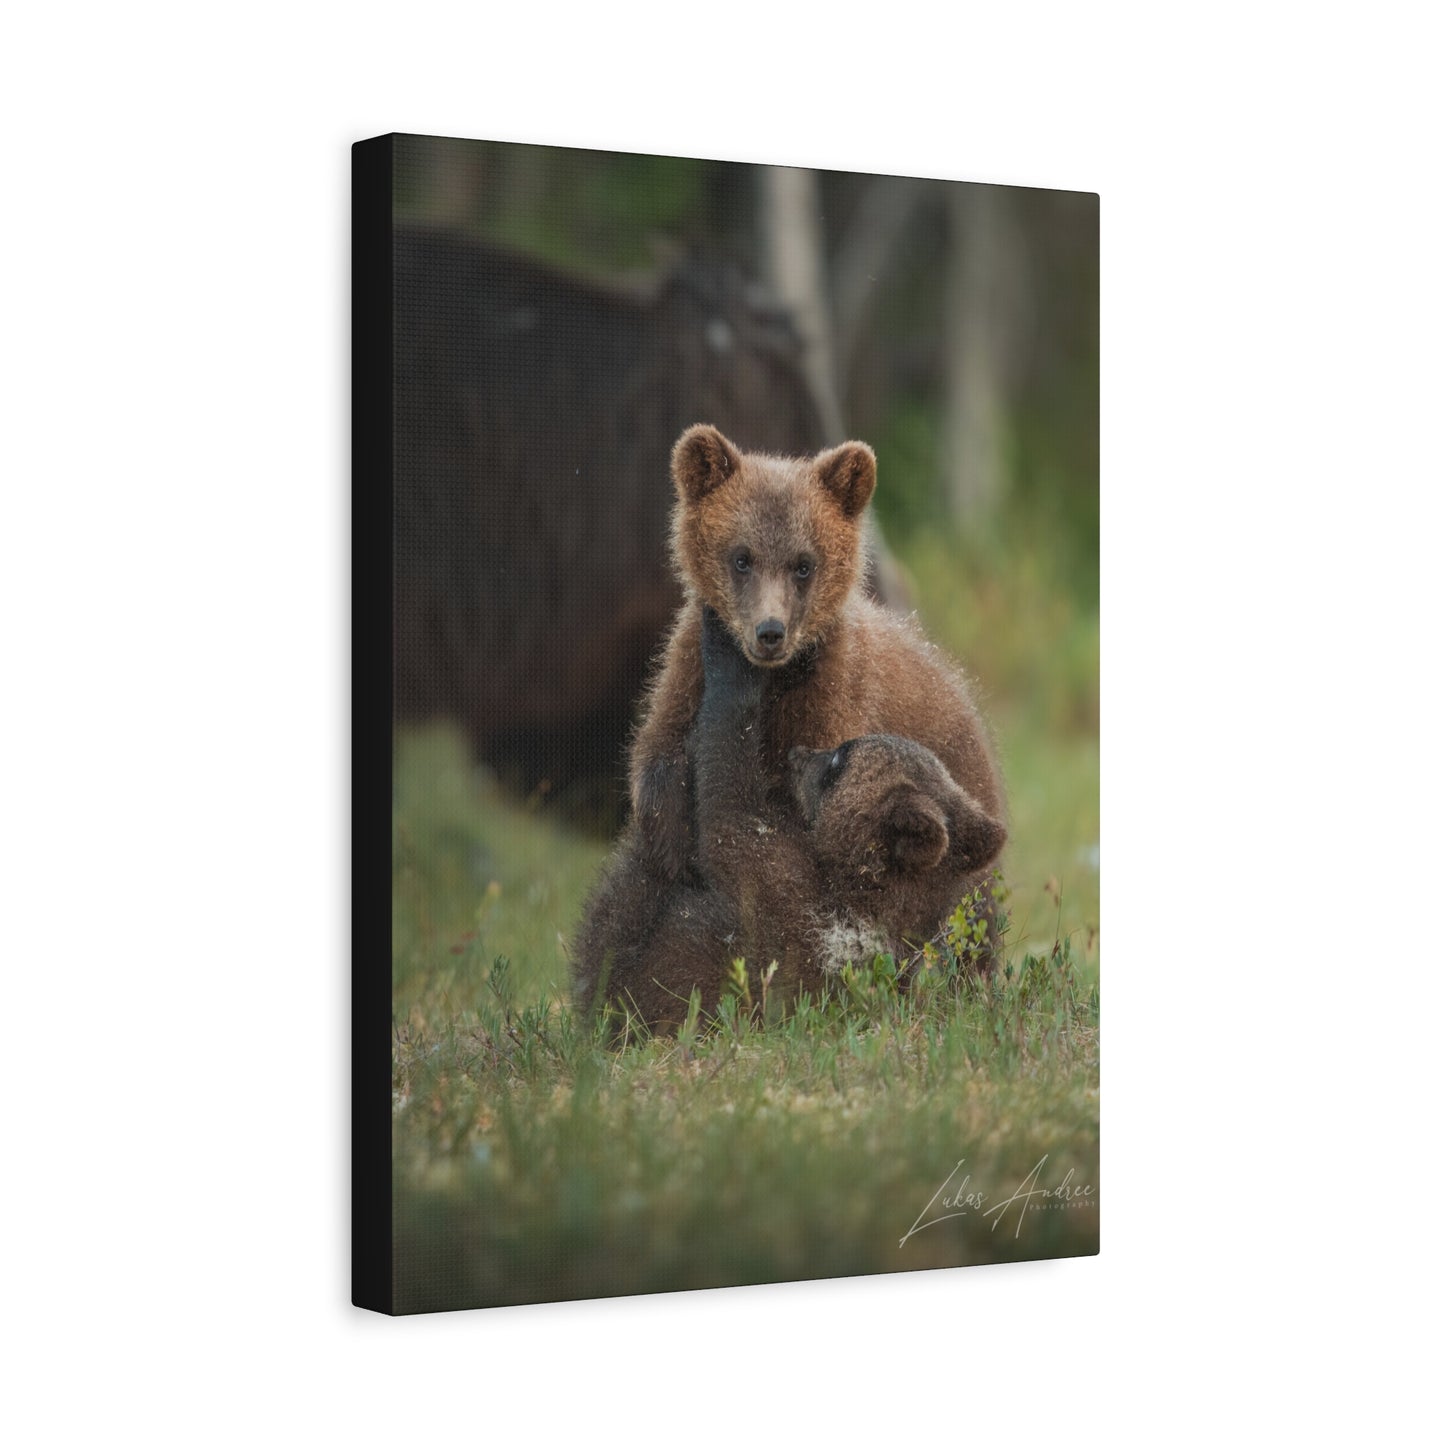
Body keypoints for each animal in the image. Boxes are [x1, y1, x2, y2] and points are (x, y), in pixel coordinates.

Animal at [628, 423, 1005, 882]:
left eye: (803, 564)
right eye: (742, 558)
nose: (770, 632)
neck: (773, 678)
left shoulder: (830, 695)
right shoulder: (688, 671)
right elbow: (661, 765)